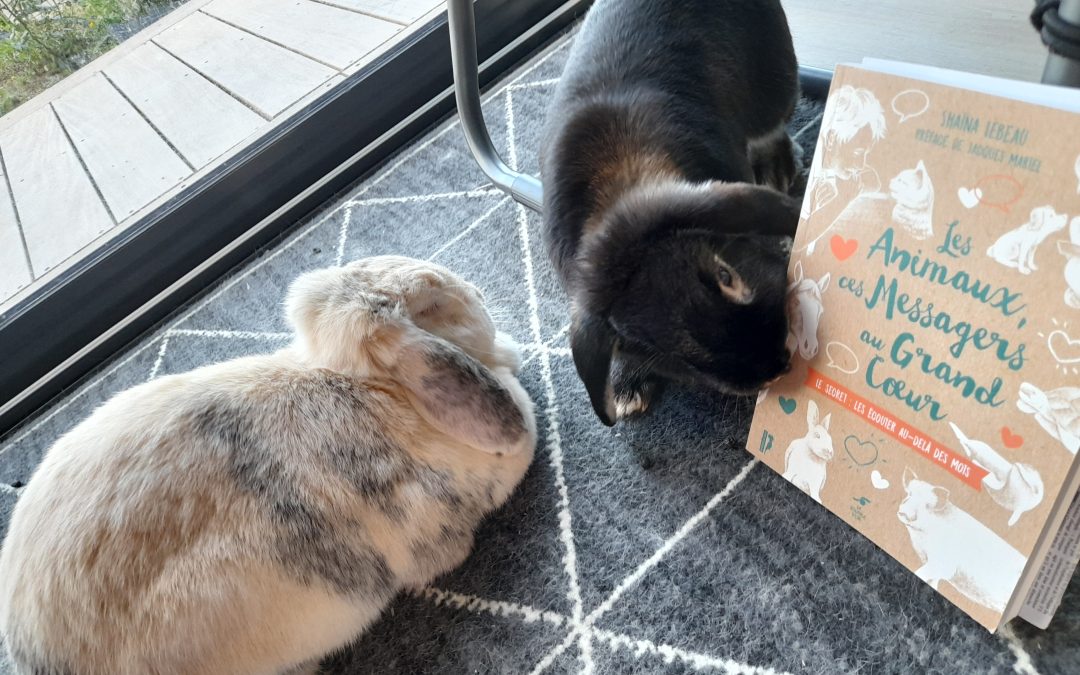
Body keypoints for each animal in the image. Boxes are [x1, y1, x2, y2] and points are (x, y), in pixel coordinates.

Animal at [540, 0, 801, 425]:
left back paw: (777, 170)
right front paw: (628, 390)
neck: (620, 189)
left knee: (773, 127)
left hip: (776, 81)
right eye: (668, 350)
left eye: (726, 274)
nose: (778, 366)